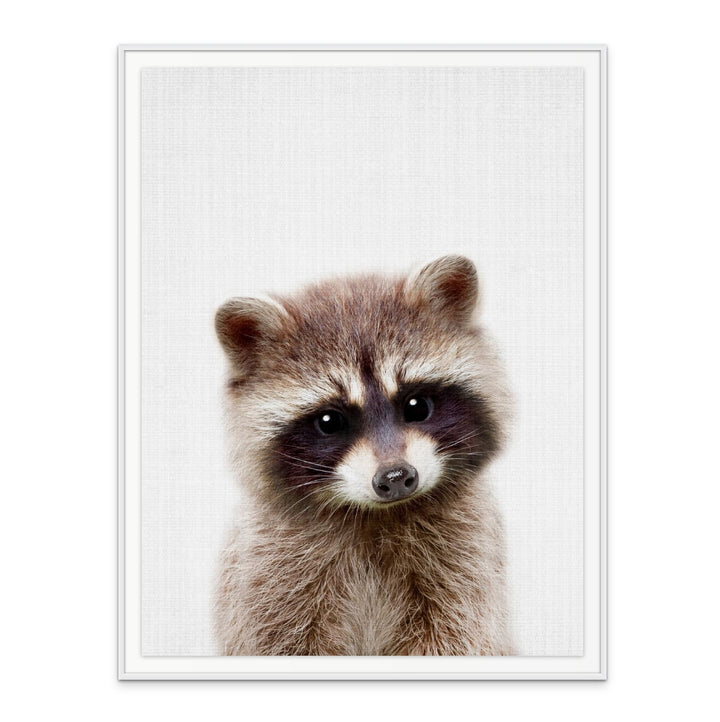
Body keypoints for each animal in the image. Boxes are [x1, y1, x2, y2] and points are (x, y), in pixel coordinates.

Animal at [214, 255, 514, 655]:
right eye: (329, 421)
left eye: (417, 406)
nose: (396, 477)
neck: (375, 515)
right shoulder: (267, 574)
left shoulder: (466, 561)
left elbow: (457, 633)